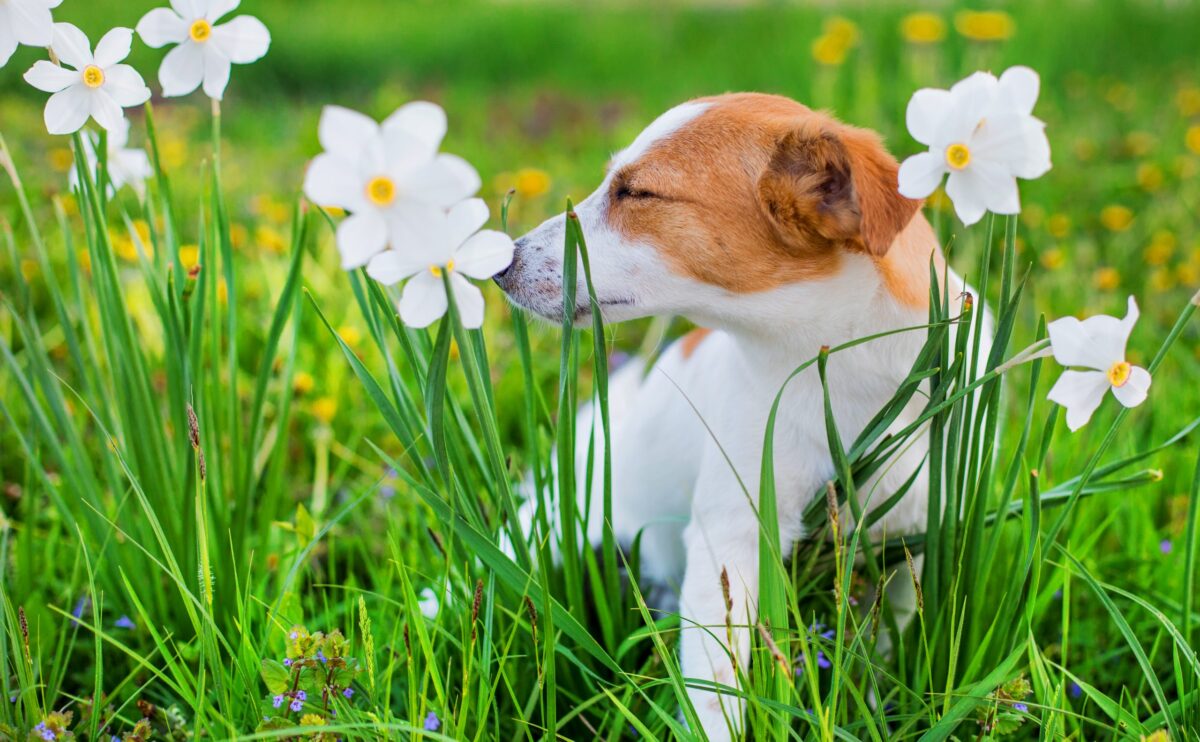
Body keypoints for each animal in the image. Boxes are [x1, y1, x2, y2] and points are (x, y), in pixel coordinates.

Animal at [492, 95, 979, 734]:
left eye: (637, 193)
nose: (499, 265)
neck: (842, 374)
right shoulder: (732, 537)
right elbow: (715, 686)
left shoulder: (918, 534)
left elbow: (891, 646)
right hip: (549, 524)